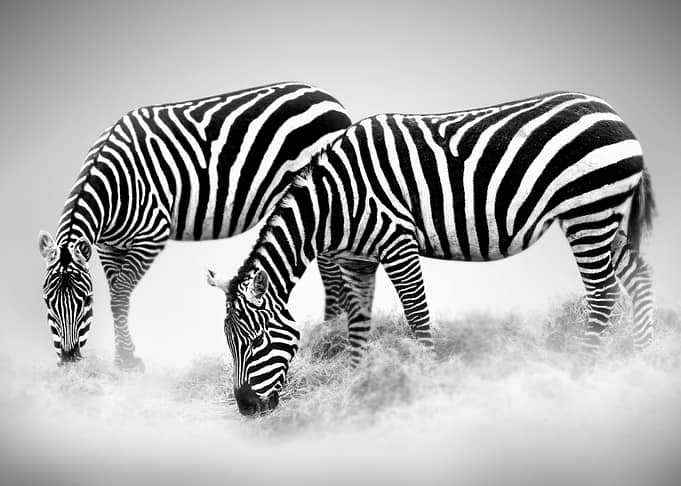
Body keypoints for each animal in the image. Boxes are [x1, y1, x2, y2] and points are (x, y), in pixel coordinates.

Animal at [37, 81, 356, 369]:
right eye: (46, 302)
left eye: (86, 301)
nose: (69, 361)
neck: (115, 185)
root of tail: (327, 97)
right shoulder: (108, 245)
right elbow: (118, 297)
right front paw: (122, 358)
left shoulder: (151, 235)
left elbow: (120, 295)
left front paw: (128, 361)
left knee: (329, 265)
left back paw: (331, 335)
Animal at [206, 91, 655, 415]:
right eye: (229, 342)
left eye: (259, 340)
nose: (247, 409)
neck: (333, 203)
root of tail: (612, 111)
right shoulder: (357, 260)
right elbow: (357, 324)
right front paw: (356, 384)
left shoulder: (397, 243)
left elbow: (417, 316)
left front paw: (425, 383)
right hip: (608, 216)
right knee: (638, 278)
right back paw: (642, 358)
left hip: (588, 211)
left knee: (602, 291)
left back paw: (584, 368)